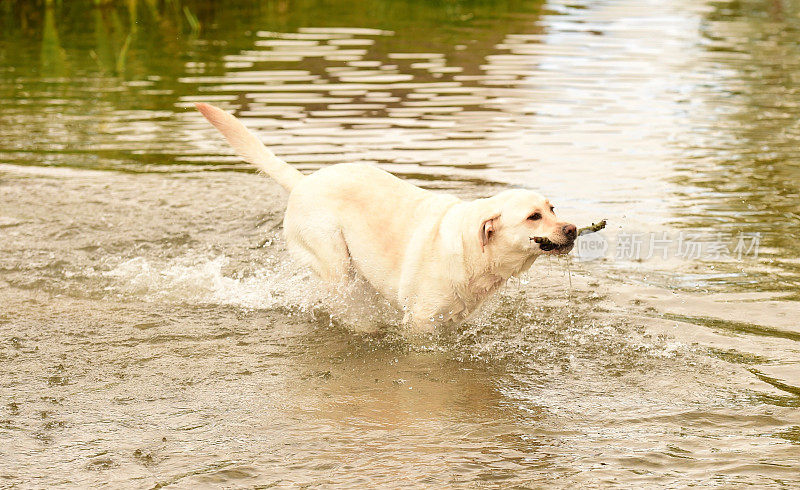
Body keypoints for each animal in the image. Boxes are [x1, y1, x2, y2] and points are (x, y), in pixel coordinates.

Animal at [198, 103, 576, 334]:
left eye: (552, 208)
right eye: (533, 216)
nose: (572, 229)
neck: (475, 253)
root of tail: (304, 181)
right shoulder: (421, 325)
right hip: (336, 263)